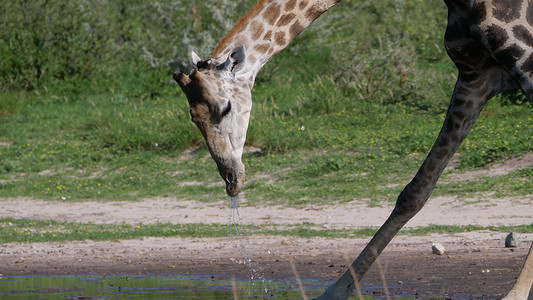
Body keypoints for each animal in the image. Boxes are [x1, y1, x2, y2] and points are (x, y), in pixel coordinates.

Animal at [175, 0, 532, 298]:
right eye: (192, 118)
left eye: (225, 107)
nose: (231, 180)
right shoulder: (475, 77)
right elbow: (415, 191)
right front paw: (334, 292)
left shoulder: (525, 60)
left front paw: (513, 295)